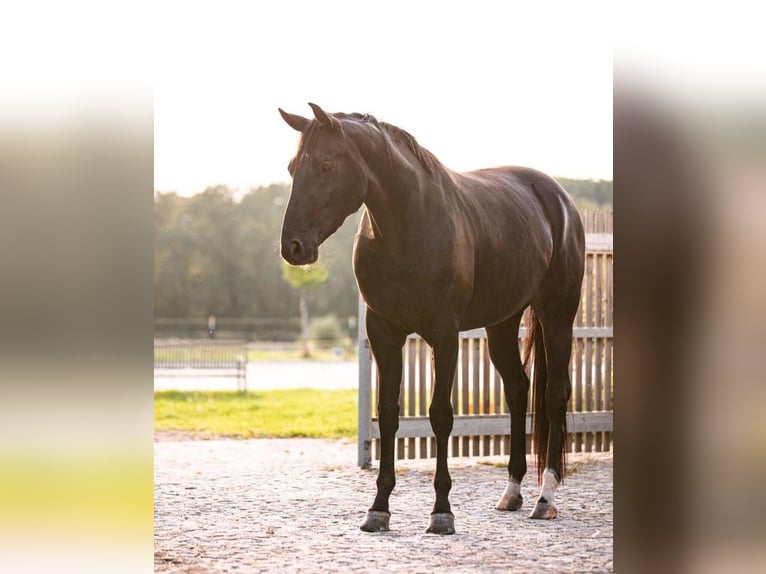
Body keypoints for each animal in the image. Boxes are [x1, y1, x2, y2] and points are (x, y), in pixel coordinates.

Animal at [280, 103, 584, 536]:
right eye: (293, 168)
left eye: (325, 165)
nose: (293, 246)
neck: (408, 225)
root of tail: (557, 198)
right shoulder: (384, 332)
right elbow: (388, 414)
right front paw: (379, 508)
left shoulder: (444, 334)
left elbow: (440, 415)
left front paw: (442, 511)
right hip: (502, 324)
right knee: (518, 390)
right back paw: (511, 492)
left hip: (557, 315)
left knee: (555, 394)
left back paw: (546, 497)